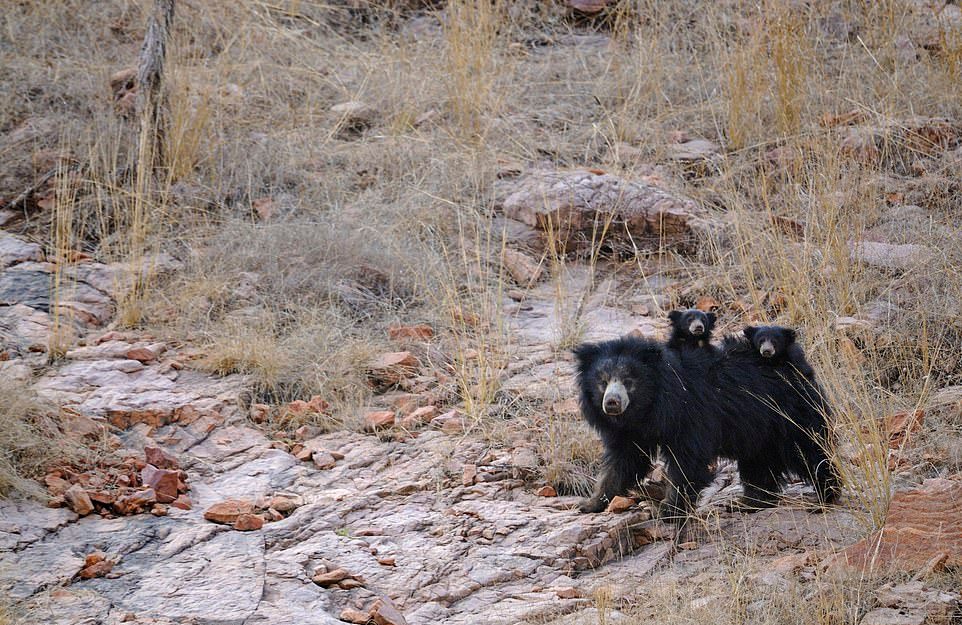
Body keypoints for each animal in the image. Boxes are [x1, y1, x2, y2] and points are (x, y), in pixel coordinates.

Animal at [572, 334, 836, 520]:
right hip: (757, 430)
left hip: (788, 413)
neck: (649, 409)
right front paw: (589, 504)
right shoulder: (629, 432)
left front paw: (668, 510)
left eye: (629, 381)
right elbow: (624, 460)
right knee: (758, 464)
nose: (612, 403)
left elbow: (687, 460)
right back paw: (748, 502)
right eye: (602, 382)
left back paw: (825, 495)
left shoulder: (689, 414)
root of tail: (797, 363)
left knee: (808, 450)